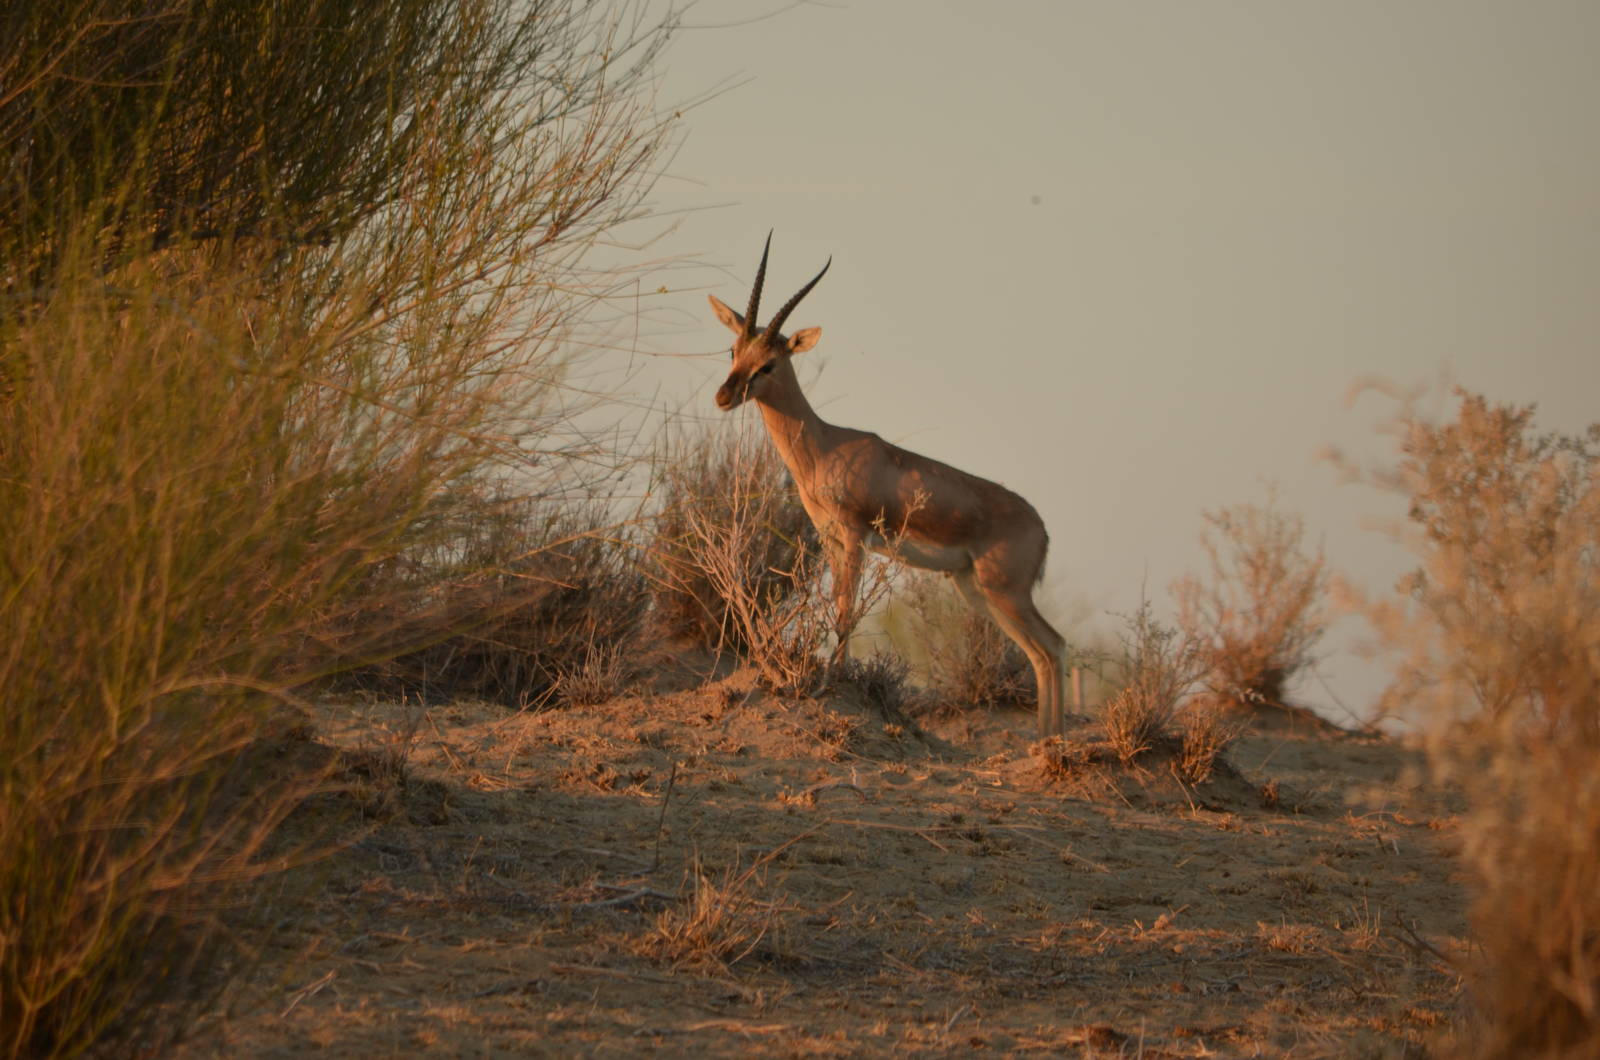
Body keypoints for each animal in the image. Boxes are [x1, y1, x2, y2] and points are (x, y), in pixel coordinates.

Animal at [709, 235, 1068, 737]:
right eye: (733, 351)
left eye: (770, 363)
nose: (724, 396)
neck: (824, 446)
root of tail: (1041, 528)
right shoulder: (830, 538)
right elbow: (839, 605)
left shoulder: (855, 536)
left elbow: (845, 609)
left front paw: (834, 680)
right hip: (977, 590)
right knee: (1041, 653)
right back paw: (1045, 738)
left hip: (1005, 592)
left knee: (1053, 646)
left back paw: (1052, 742)